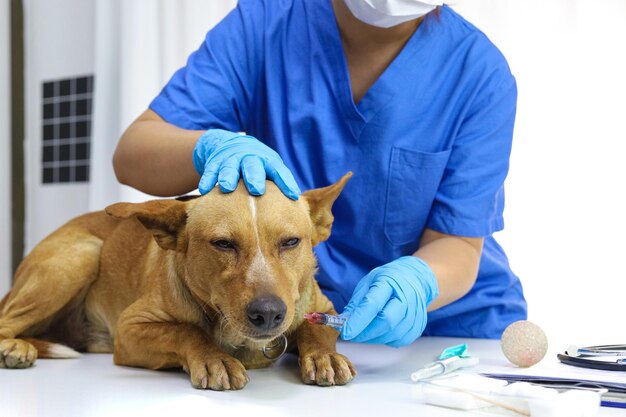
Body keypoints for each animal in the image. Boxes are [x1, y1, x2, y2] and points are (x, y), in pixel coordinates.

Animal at [0, 171, 354, 386]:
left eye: (291, 242)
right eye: (223, 243)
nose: (268, 314)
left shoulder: (325, 309)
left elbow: (316, 328)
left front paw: (325, 356)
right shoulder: (130, 329)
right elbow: (185, 331)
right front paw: (214, 358)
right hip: (81, 255)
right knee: (5, 321)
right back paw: (15, 347)